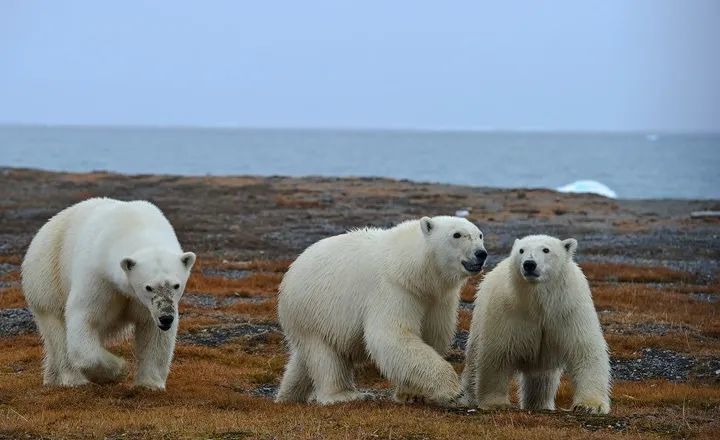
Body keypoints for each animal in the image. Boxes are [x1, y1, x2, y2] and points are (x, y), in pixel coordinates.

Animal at [22, 199, 197, 388]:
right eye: (148, 287)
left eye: (176, 285)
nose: (166, 318)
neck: (134, 224)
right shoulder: (98, 276)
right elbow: (84, 318)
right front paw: (118, 369)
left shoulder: (145, 304)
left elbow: (153, 331)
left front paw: (150, 384)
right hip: (48, 277)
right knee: (57, 328)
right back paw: (73, 379)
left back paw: (51, 377)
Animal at [272, 217, 486, 406]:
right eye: (457, 235)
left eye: (480, 235)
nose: (481, 253)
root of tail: (291, 270)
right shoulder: (393, 289)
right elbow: (392, 335)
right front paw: (452, 389)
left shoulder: (437, 299)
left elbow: (432, 335)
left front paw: (412, 394)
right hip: (314, 312)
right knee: (325, 355)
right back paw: (343, 395)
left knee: (303, 359)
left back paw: (288, 396)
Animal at [462, 235, 608, 414]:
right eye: (521, 250)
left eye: (546, 249)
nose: (529, 264)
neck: (538, 301)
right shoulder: (509, 311)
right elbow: (497, 353)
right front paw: (496, 402)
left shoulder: (568, 310)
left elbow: (585, 349)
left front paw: (590, 406)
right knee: (473, 358)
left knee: (542, 379)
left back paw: (540, 403)